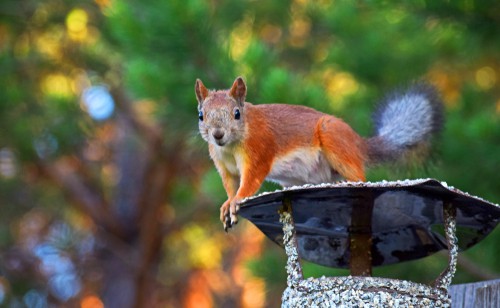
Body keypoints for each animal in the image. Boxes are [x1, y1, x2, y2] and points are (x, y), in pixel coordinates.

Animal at [193, 77, 444, 231]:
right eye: (201, 115)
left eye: (236, 113)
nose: (217, 135)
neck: (229, 147)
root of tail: (358, 143)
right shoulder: (224, 166)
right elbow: (230, 184)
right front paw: (227, 203)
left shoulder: (259, 151)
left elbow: (250, 181)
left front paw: (236, 201)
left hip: (334, 140)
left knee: (359, 177)